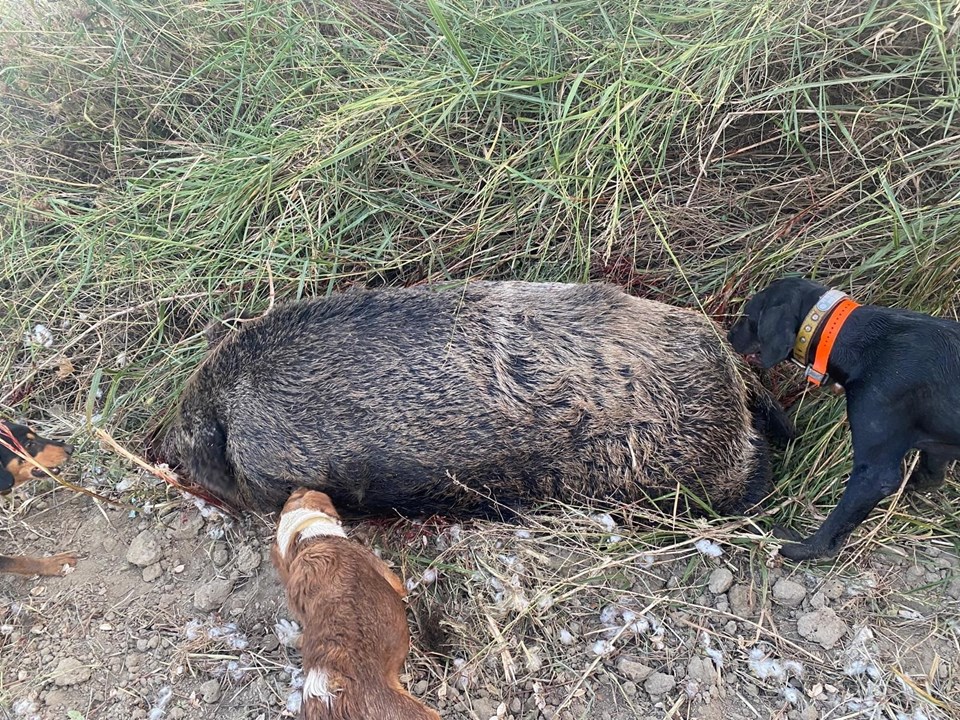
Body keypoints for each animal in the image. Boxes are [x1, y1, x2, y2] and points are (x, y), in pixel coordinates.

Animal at [732, 278, 956, 560]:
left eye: (747, 315)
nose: (728, 334)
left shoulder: (875, 474)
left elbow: (836, 523)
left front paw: (802, 548)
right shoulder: (936, 450)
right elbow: (928, 477)